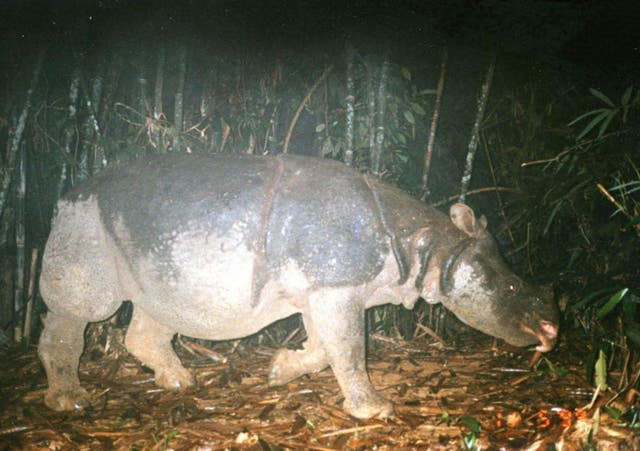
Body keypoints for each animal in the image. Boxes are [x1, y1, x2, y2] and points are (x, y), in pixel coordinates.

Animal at [40, 154, 556, 420]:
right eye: (509, 289)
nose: (552, 330)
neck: (429, 245)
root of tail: (66, 193)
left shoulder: (323, 288)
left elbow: (326, 348)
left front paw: (278, 371)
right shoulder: (337, 285)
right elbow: (349, 348)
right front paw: (375, 411)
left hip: (145, 240)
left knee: (156, 308)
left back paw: (180, 382)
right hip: (83, 222)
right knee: (82, 311)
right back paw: (71, 401)